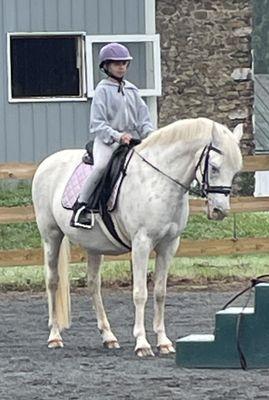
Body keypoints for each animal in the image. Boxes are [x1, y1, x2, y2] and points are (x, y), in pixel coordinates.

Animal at [32, 116, 242, 356]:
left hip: (94, 246)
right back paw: (54, 336)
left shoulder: (169, 245)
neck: (159, 180)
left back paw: (108, 337)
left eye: (235, 170)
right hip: (51, 236)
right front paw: (142, 343)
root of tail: (47, 162)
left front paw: (163, 342)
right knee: (52, 281)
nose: (220, 211)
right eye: (214, 167)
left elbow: (160, 292)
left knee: (93, 284)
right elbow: (140, 293)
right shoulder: (142, 243)